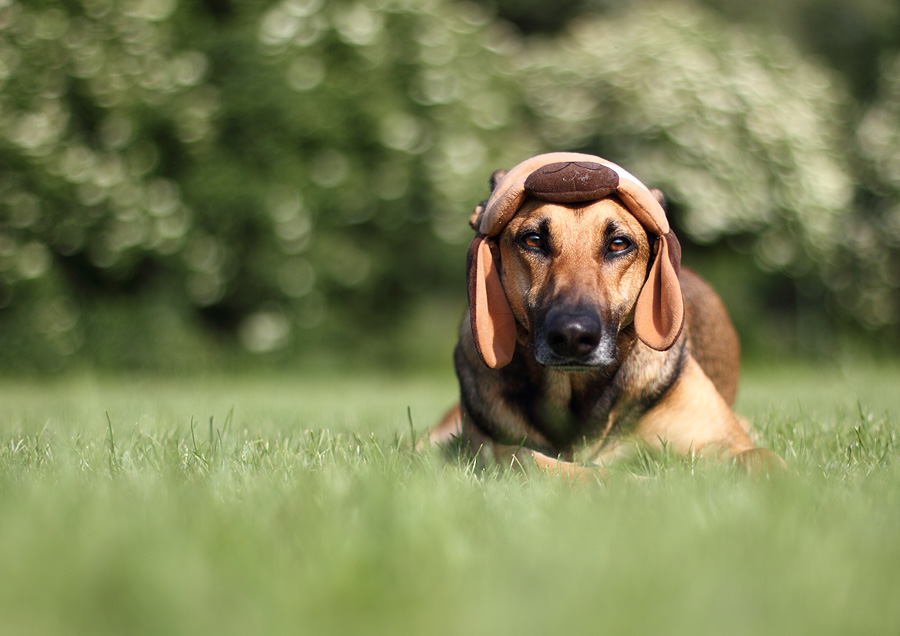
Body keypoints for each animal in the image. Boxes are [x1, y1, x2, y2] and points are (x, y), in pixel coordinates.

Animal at [428, 153, 788, 482]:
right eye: (533, 240)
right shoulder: (492, 448)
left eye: (618, 244)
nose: (572, 336)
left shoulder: (723, 438)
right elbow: (543, 463)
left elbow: (762, 457)